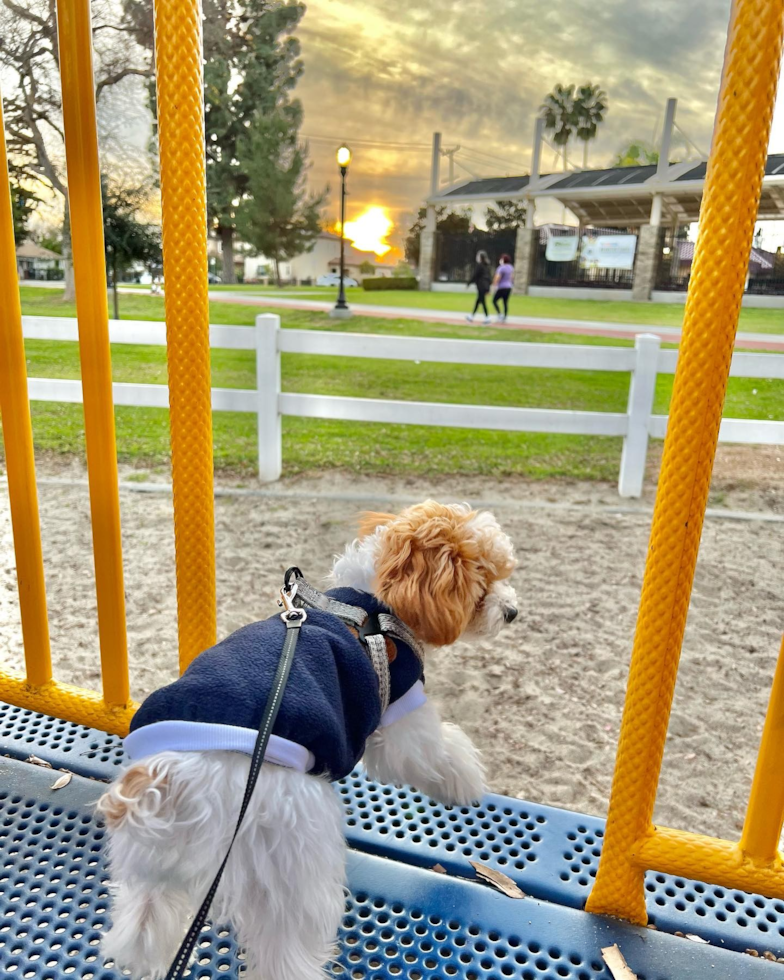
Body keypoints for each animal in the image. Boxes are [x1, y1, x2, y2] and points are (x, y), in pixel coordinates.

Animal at [96, 502, 516, 980]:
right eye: (485, 579)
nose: (512, 611)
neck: (370, 604)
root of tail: (185, 782)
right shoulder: (401, 708)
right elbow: (436, 752)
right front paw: (466, 784)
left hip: (152, 867)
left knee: (142, 922)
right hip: (294, 869)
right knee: (287, 953)